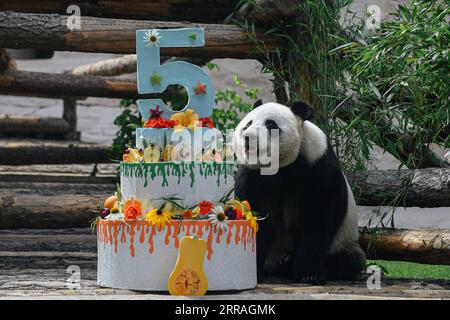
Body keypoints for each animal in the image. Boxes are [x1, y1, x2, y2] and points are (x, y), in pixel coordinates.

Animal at [234, 100, 368, 282]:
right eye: (247, 124)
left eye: (270, 124)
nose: (248, 137)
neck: (280, 167)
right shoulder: (253, 176)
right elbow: (256, 219)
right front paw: (252, 271)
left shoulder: (317, 166)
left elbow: (315, 220)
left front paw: (308, 275)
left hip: (346, 242)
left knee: (348, 260)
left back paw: (287, 264)